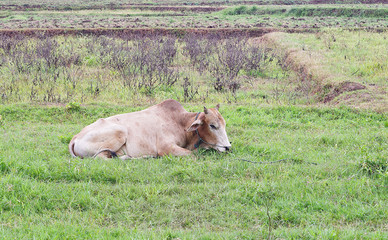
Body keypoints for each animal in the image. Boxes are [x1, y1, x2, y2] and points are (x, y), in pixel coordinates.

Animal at [68, 98, 232, 158]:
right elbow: (192, 155)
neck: (180, 122)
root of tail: (75, 138)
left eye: (224, 125)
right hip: (120, 133)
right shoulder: (166, 147)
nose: (228, 147)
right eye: (212, 125)